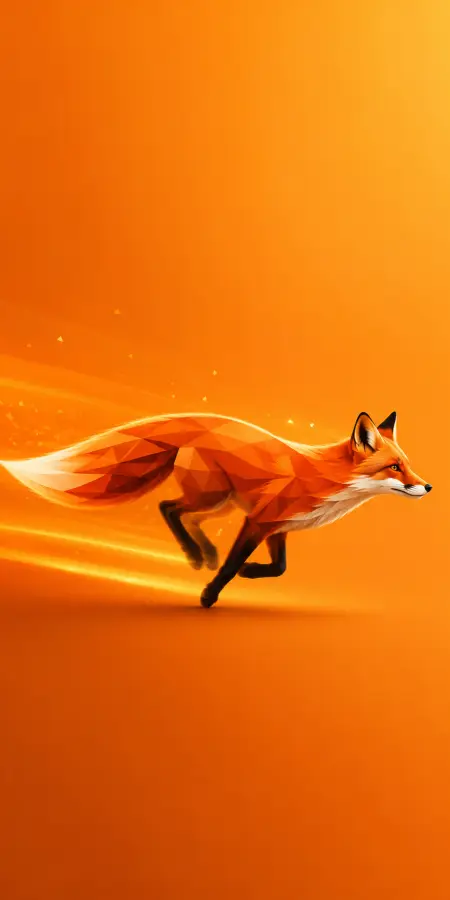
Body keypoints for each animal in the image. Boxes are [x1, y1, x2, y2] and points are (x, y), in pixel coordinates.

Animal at [0, 410, 431, 607]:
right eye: (394, 467)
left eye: (407, 464)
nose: (427, 486)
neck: (325, 480)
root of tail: (204, 422)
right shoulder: (258, 520)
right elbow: (231, 565)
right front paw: (211, 593)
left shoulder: (277, 527)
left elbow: (278, 568)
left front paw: (247, 571)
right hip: (215, 496)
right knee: (168, 507)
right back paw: (197, 556)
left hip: (221, 503)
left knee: (184, 515)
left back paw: (201, 552)